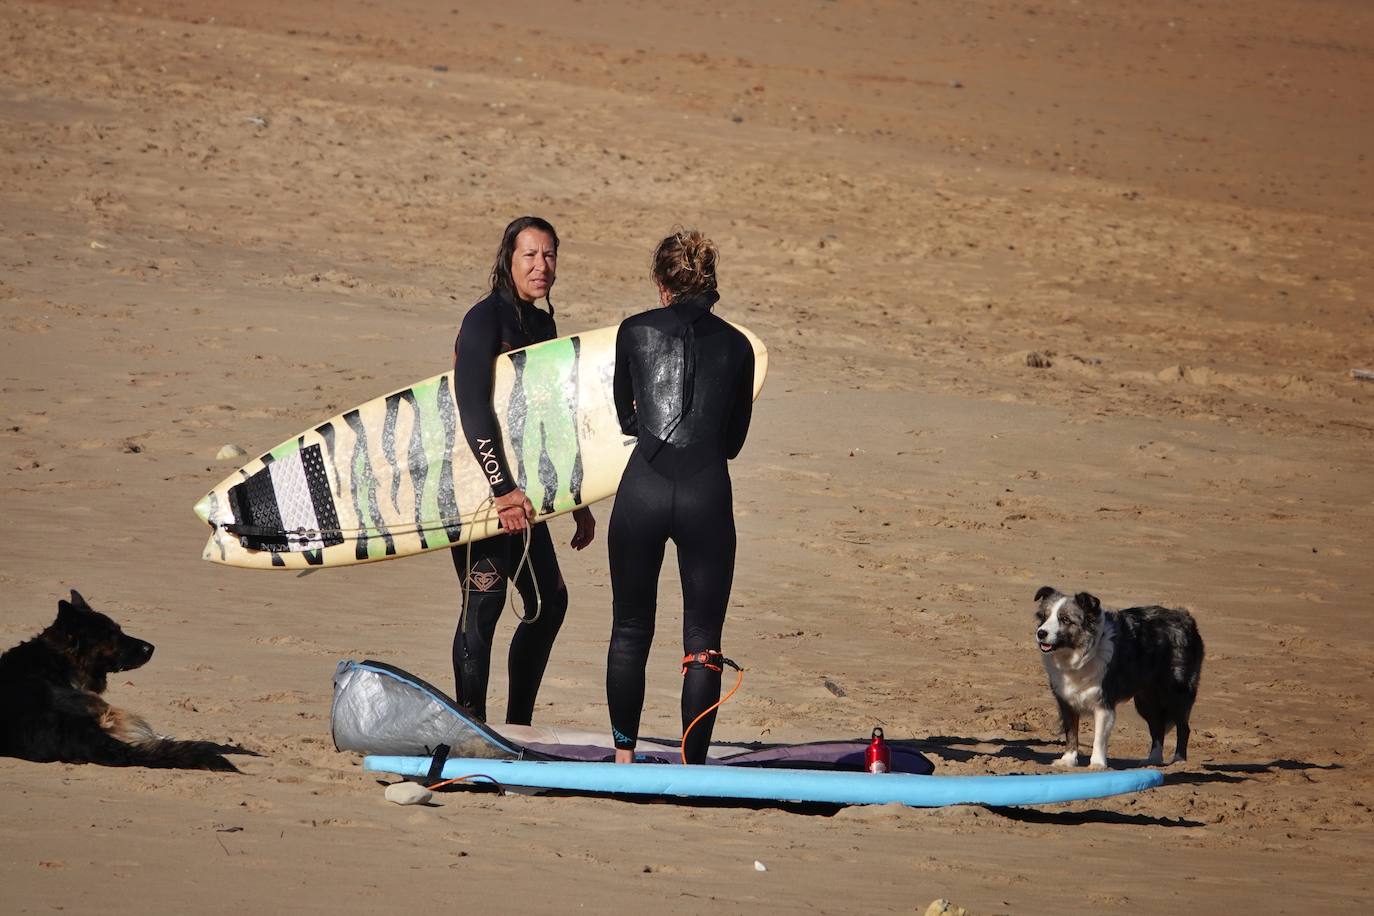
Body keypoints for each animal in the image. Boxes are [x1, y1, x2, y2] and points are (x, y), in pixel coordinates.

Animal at [1033, 585, 1203, 769]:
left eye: (1065, 619)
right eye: (1044, 617)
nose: (1041, 633)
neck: (1080, 655)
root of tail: (1185, 617)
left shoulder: (1103, 703)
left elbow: (1099, 737)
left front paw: (1097, 764)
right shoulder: (1066, 701)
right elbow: (1071, 732)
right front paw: (1068, 760)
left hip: (1175, 694)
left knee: (1183, 728)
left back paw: (1179, 760)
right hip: (1146, 700)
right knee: (1157, 728)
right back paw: (1153, 759)